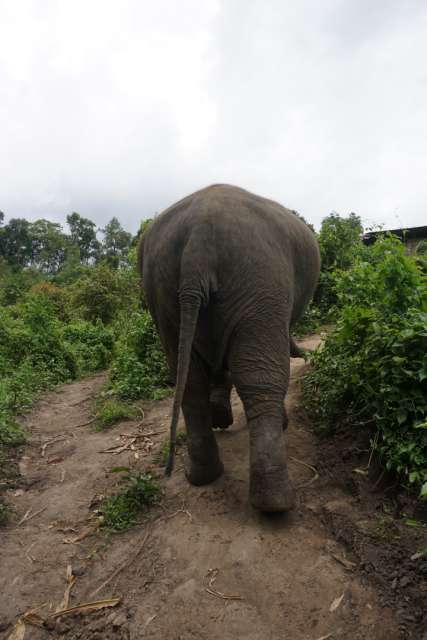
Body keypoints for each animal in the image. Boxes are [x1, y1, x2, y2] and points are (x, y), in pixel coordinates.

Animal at [139, 184, 320, 510]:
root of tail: (198, 237)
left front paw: (221, 417)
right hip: (260, 279)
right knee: (260, 377)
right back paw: (274, 503)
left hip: (164, 295)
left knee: (189, 381)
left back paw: (202, 476)